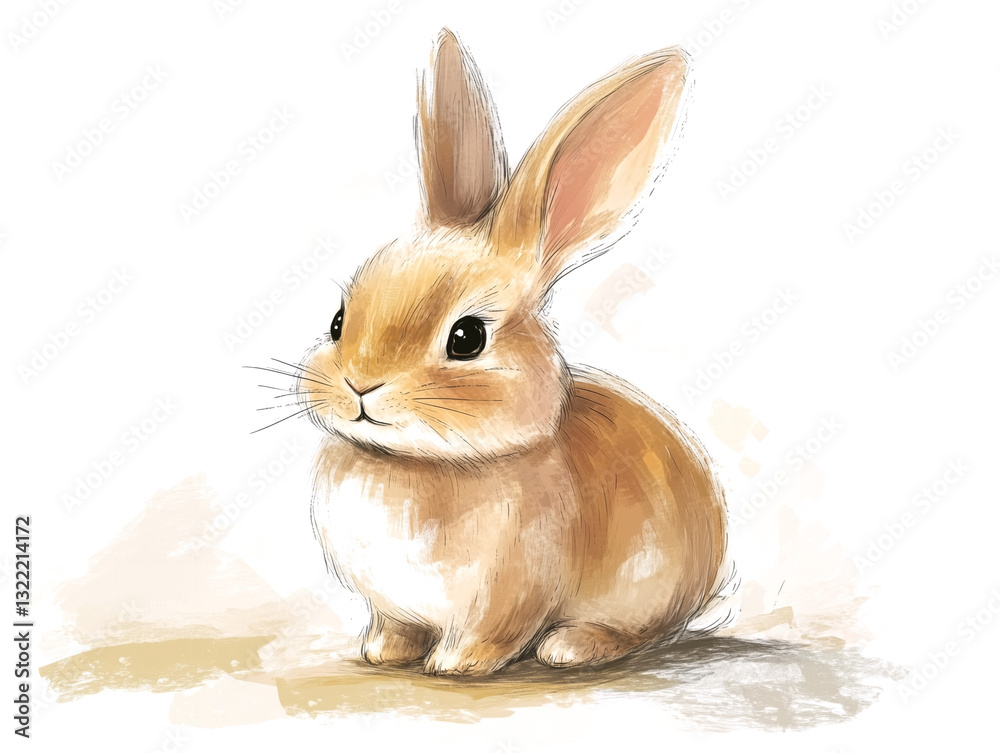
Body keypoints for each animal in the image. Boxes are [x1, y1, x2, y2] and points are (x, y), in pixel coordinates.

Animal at [299, 28, 728, 675]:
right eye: (338, 321)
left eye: (467, 338)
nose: (360, 385)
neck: (418, 463)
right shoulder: (391, 605)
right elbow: (395, 627)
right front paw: (381, 653)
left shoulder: (513, 592)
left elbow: (491, 634)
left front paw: (454, 665)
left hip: (646, 590)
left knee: (641, 632)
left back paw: (571, 647)